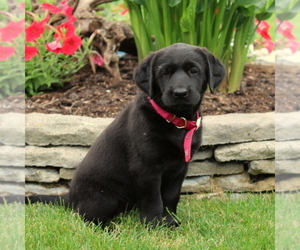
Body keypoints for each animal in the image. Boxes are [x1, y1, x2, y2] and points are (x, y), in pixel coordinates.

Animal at [25, 42, 224, 227]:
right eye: (164, 73)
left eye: (194, 70)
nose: (180, 93)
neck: (175, 120)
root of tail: (69, 197)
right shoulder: (146, 169)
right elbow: (153, 201)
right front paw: (154, 225)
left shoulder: (180, 168)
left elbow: (171, 197)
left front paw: (170, 221)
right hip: (104, 198)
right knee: (88, 218)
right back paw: (111, 229)